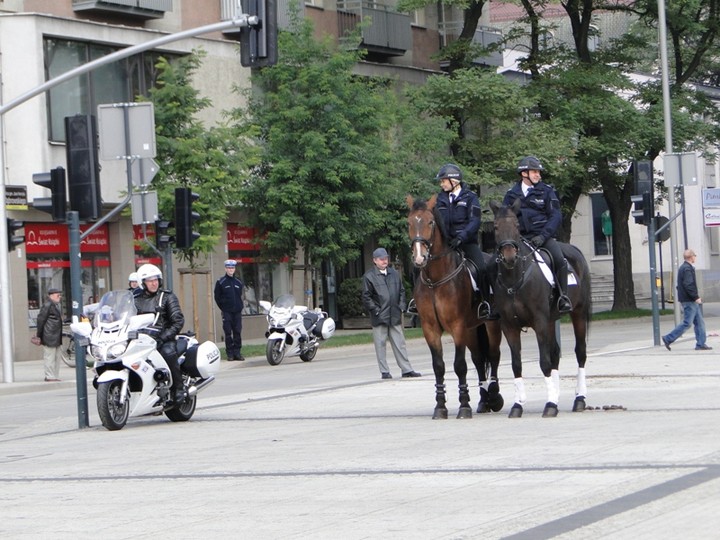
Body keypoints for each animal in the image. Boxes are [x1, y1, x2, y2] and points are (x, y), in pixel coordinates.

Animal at [408, 194, 504, 418]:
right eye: (409, 223)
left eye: (430, 222)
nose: (419, 257)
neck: (436, 280)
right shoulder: (430, 329)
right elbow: (439, 366)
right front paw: (440, 407)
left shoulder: (457, 326)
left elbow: (459, 365)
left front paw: (464, 406)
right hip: (472, 329)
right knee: (478, 359)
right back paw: (484, 401)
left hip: (490, 324)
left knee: (493, 355)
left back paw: (494, 397)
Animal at [492, 200, 592, 420]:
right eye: (495, 227)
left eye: (516, 226)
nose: (509, 257)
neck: (514, 279)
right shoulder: (509, 326)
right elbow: (517, 364)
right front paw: (518, 405)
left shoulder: (539, 322)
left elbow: (544, 362)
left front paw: (550, 405)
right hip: (551, 321)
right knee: (555, 353)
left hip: (578, 314)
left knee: (580, 353)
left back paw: (579, 399)